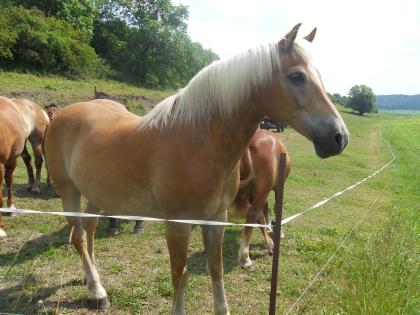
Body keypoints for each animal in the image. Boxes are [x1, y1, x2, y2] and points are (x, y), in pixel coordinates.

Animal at [0, 96, 49, 239]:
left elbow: (7, 183)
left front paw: (10, 209)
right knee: (28, 161)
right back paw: (30, 184)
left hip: (36, 141)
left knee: (38, 162)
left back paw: (36, 186)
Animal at [231, 128, 290, 270]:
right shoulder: (277, 188)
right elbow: (275, 208)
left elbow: (265, 212)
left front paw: (269, 230)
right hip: (263, 190)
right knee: (252, 214)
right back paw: (245, 258)